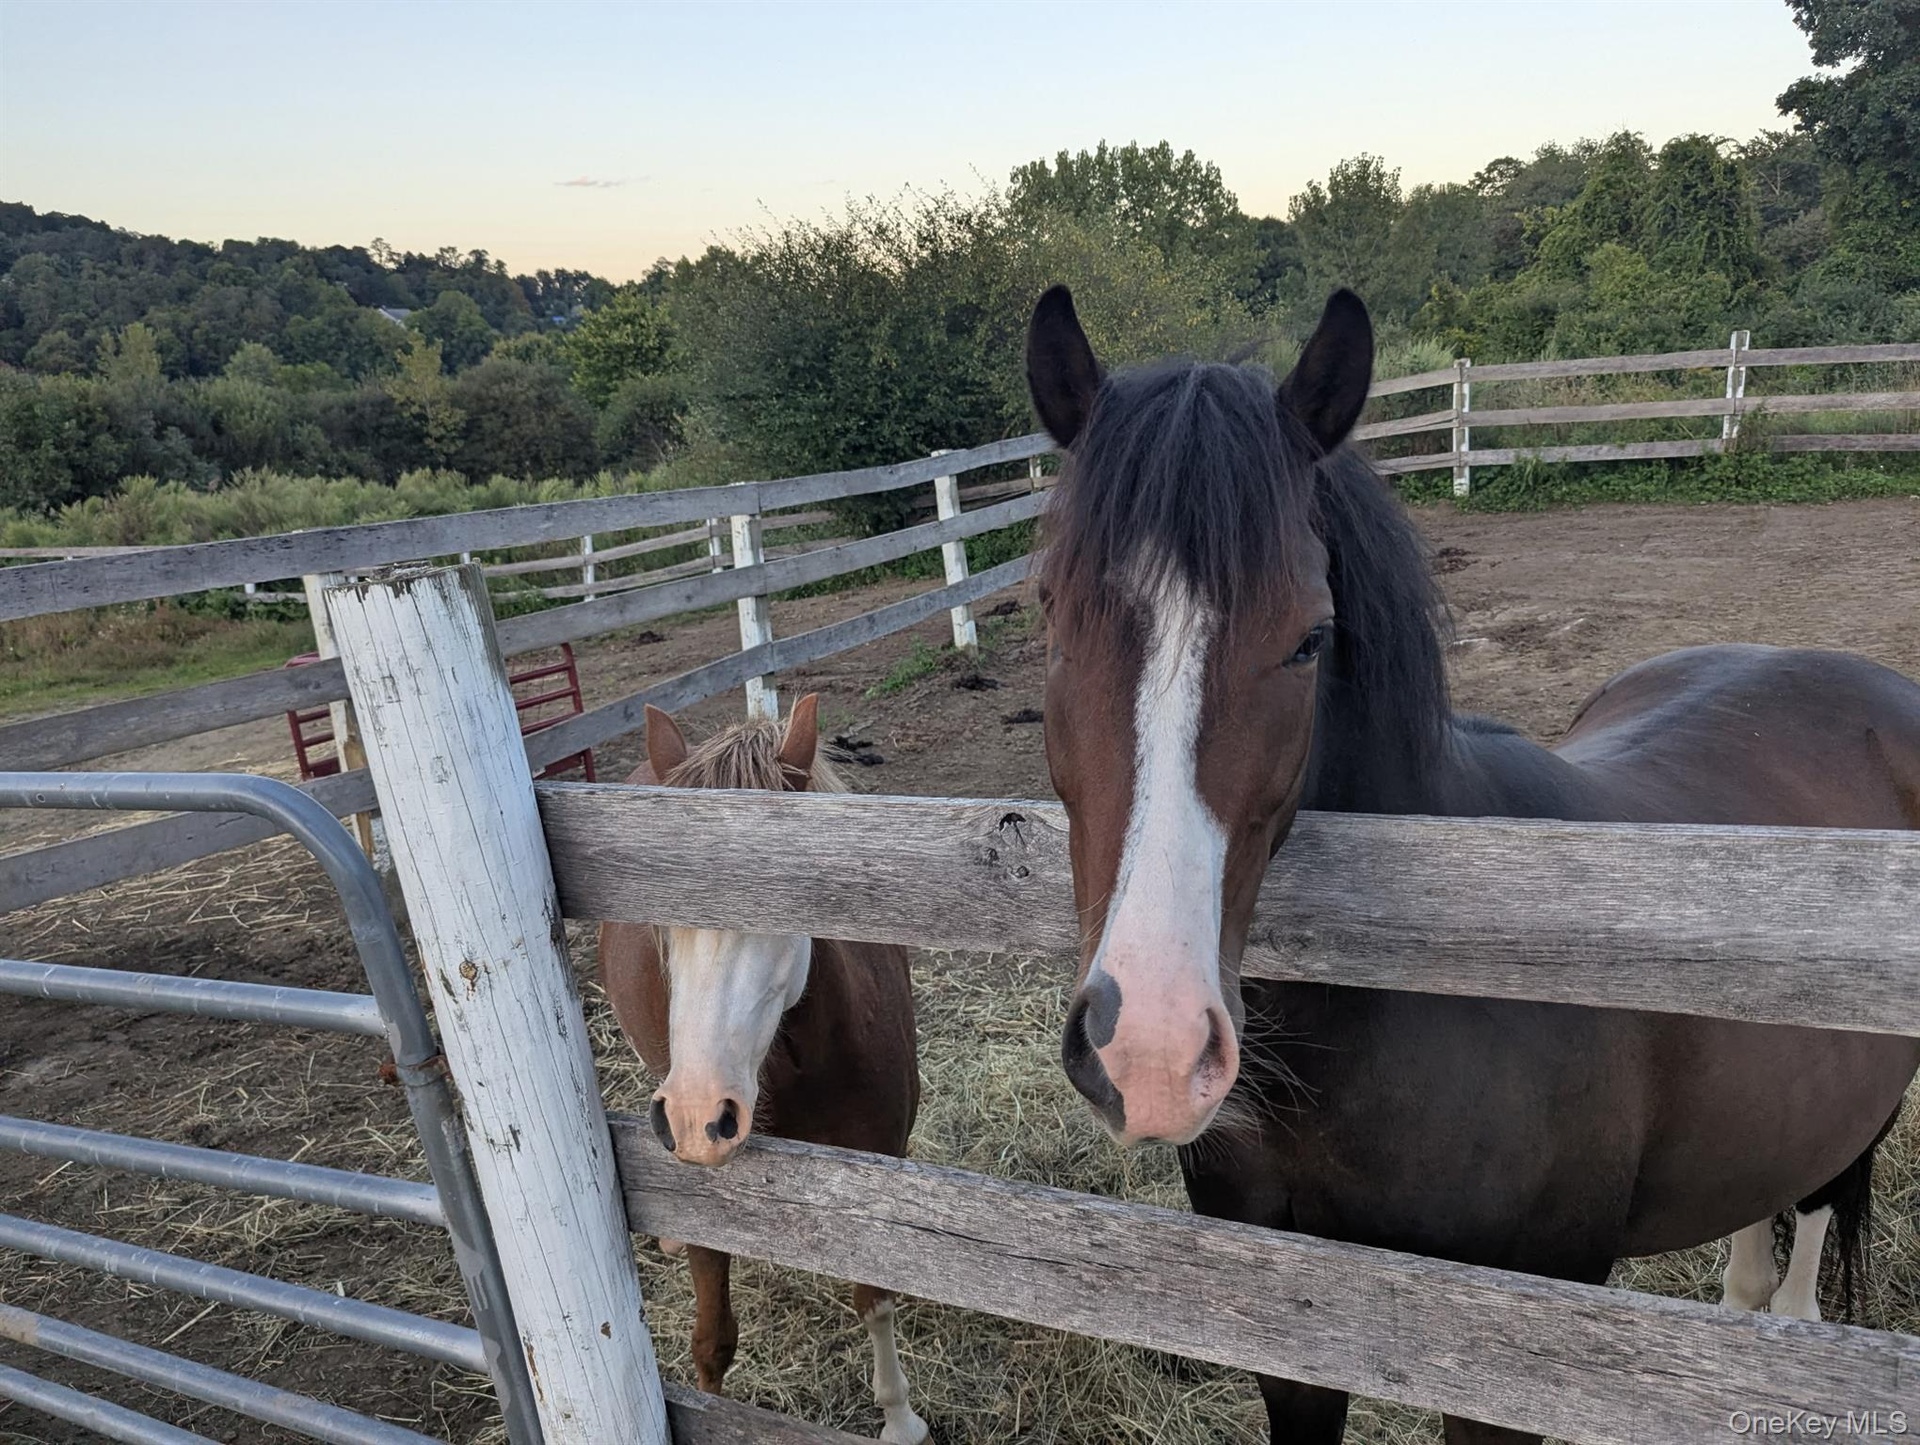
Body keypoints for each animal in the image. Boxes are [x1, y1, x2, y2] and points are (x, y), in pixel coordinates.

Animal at [597, 695, 931, 1445]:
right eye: (658, 919)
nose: (697, 1116)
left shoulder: (877, 1173)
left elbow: (875, 1299)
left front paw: (899, 1419)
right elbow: (712, 1339)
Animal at [1023, 282, 1920, 1444]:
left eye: (1309, 638)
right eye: (1051, 615)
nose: (1152, 1052)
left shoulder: (1505, 1354)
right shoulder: (1285, 1327)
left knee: (1802, 1263)